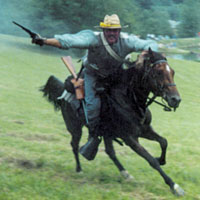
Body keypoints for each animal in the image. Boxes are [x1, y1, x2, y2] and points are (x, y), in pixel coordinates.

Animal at [40, 49, 184, 196]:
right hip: (75, 128)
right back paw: (79, 170)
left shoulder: (145, 130)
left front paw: (162, 160)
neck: (130, 99)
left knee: (110, 152)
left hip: (106, 134)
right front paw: (174, 186)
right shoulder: (130, 138)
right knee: (75, 146)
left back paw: (126, 174)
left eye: (172, 72)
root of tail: (63, 90)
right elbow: (151, 159)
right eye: (158, 72)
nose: (176, 99)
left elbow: (163, 142)